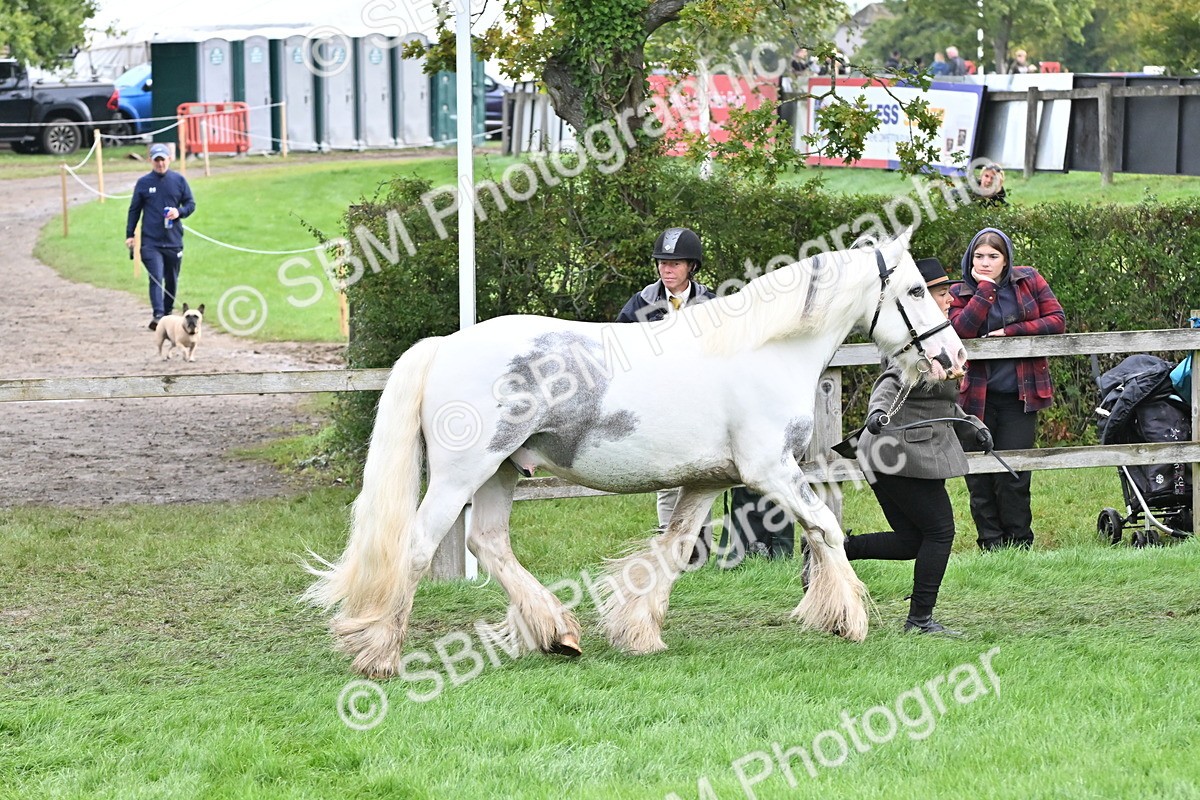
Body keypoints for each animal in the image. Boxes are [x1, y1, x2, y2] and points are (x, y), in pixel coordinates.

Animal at [304, 227, 968, 678]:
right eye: (916, 290)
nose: (953, 358)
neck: (765, 350)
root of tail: (445, 344)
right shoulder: (772, 473)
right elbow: (826, 528)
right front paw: (848, 618)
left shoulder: (707, 482)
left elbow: (671, 551)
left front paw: (639, 633)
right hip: (458, 477)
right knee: (418, 548)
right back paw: (381, 654)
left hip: (500, 473)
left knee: (488, 544)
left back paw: (557, 634)